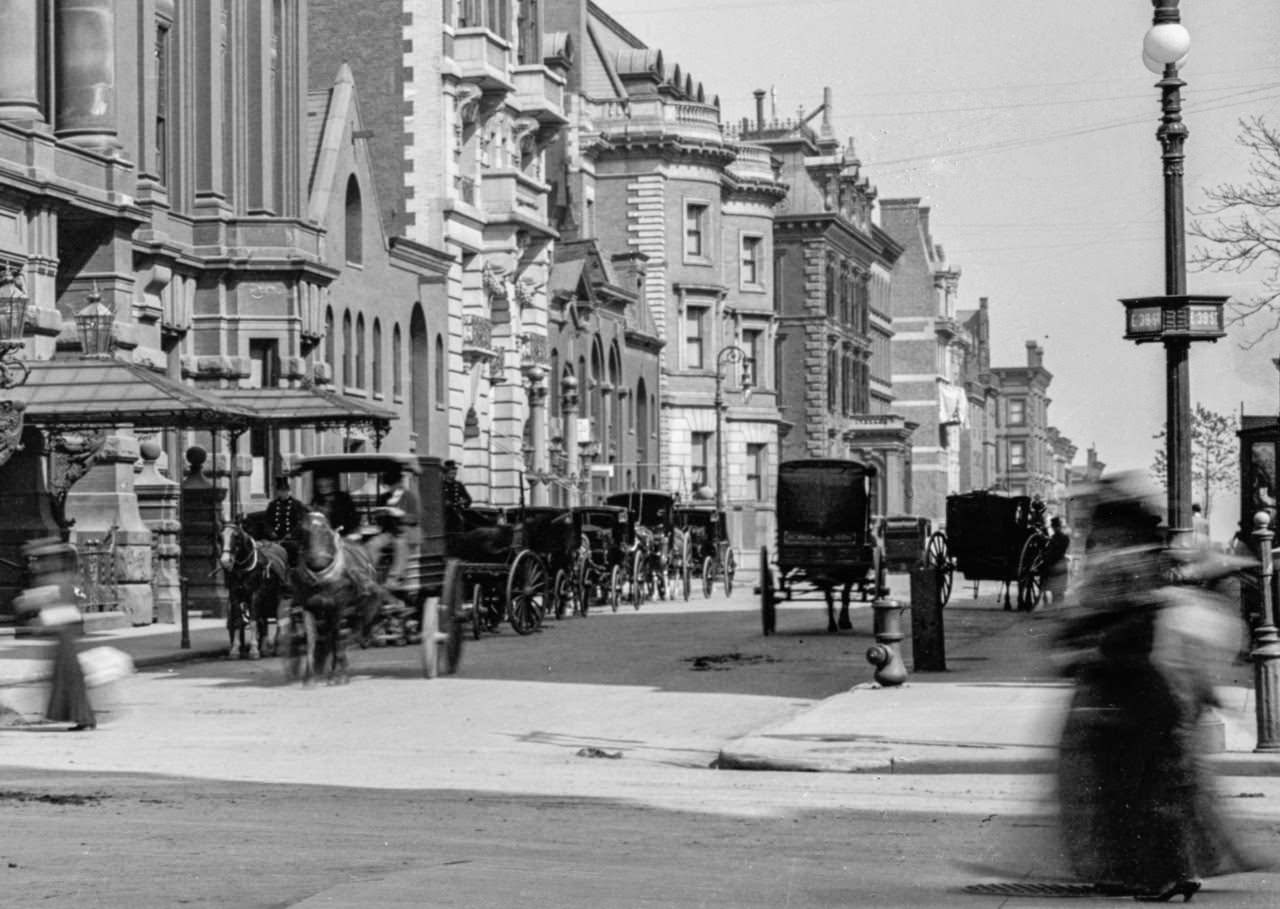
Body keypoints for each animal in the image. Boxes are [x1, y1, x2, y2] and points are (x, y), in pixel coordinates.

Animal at [220, 519, 290, 660]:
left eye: (236, 536)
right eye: (220, 537)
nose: (225, 562)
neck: (243, 570)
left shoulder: (255, 595)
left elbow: (253, 621)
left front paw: (253, 650)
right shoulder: (234, 595)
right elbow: (237, 621)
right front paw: (235, 650)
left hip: (278, 596)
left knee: (278, 617)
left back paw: (276, 646)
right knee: (263, 620)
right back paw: (264, 647)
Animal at [290, 512, 384, 686]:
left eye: (326, 531)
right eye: (303, 531)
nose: (317, 559)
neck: (323, 581)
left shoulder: (340, 607)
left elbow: (338, 640)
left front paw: (339, 676)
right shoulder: (308, 608)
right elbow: (311, 641)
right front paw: (310, 678)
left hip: (360, 610)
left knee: (347, 635)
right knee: (332, 638)